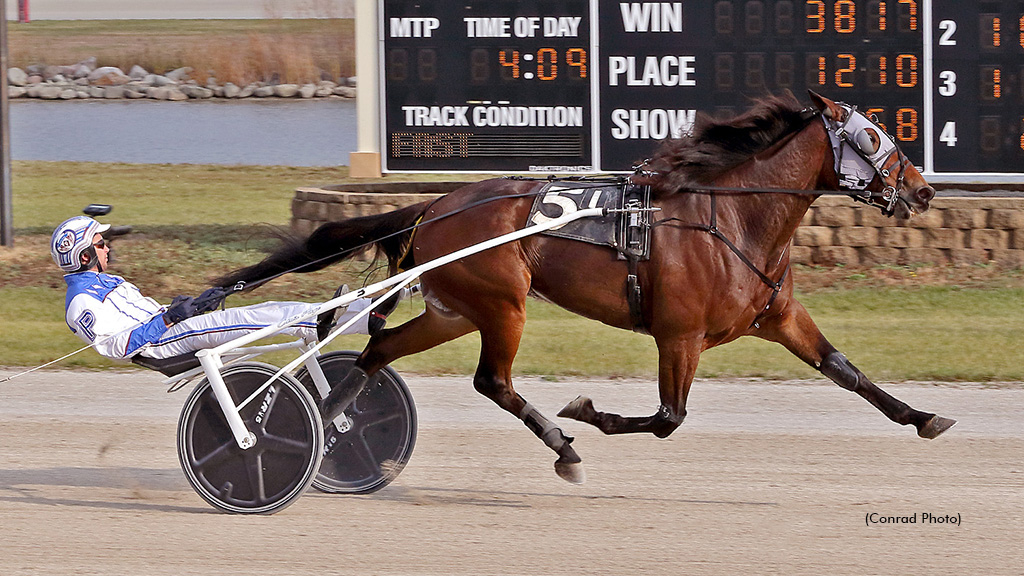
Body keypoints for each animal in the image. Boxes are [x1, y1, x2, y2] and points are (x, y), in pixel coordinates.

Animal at [218, 91, 958, 481]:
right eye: (872, 137)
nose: (923, 190)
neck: (735, 221)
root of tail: (435, 205)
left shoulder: (777, 318)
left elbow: (847, 371)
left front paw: (925, 417)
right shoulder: (679, 334)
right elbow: (667, 418)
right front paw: (584, 412)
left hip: (456, 309)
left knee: (378, 352)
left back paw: (331, 428)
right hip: (503, 304)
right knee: (491, 381)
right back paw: (562, 446)